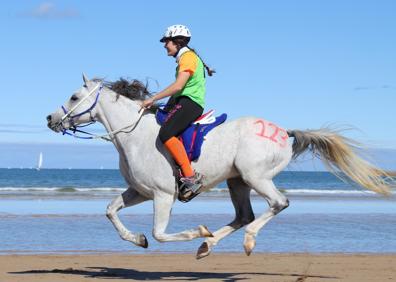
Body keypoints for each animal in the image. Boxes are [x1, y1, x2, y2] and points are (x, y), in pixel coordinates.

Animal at [47, 74, 392, 258]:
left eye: (74, 96)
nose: (50, 119)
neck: (135, 136)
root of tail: (284, 132)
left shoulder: (162, 195)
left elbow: (160, 233)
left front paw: (193, 230)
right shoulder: (139, 191)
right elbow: (110, 210)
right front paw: (137, 239)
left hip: (256, 176)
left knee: (277, 204)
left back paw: (242, 240)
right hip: (236, 181)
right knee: (244, 215)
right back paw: (207, 244)